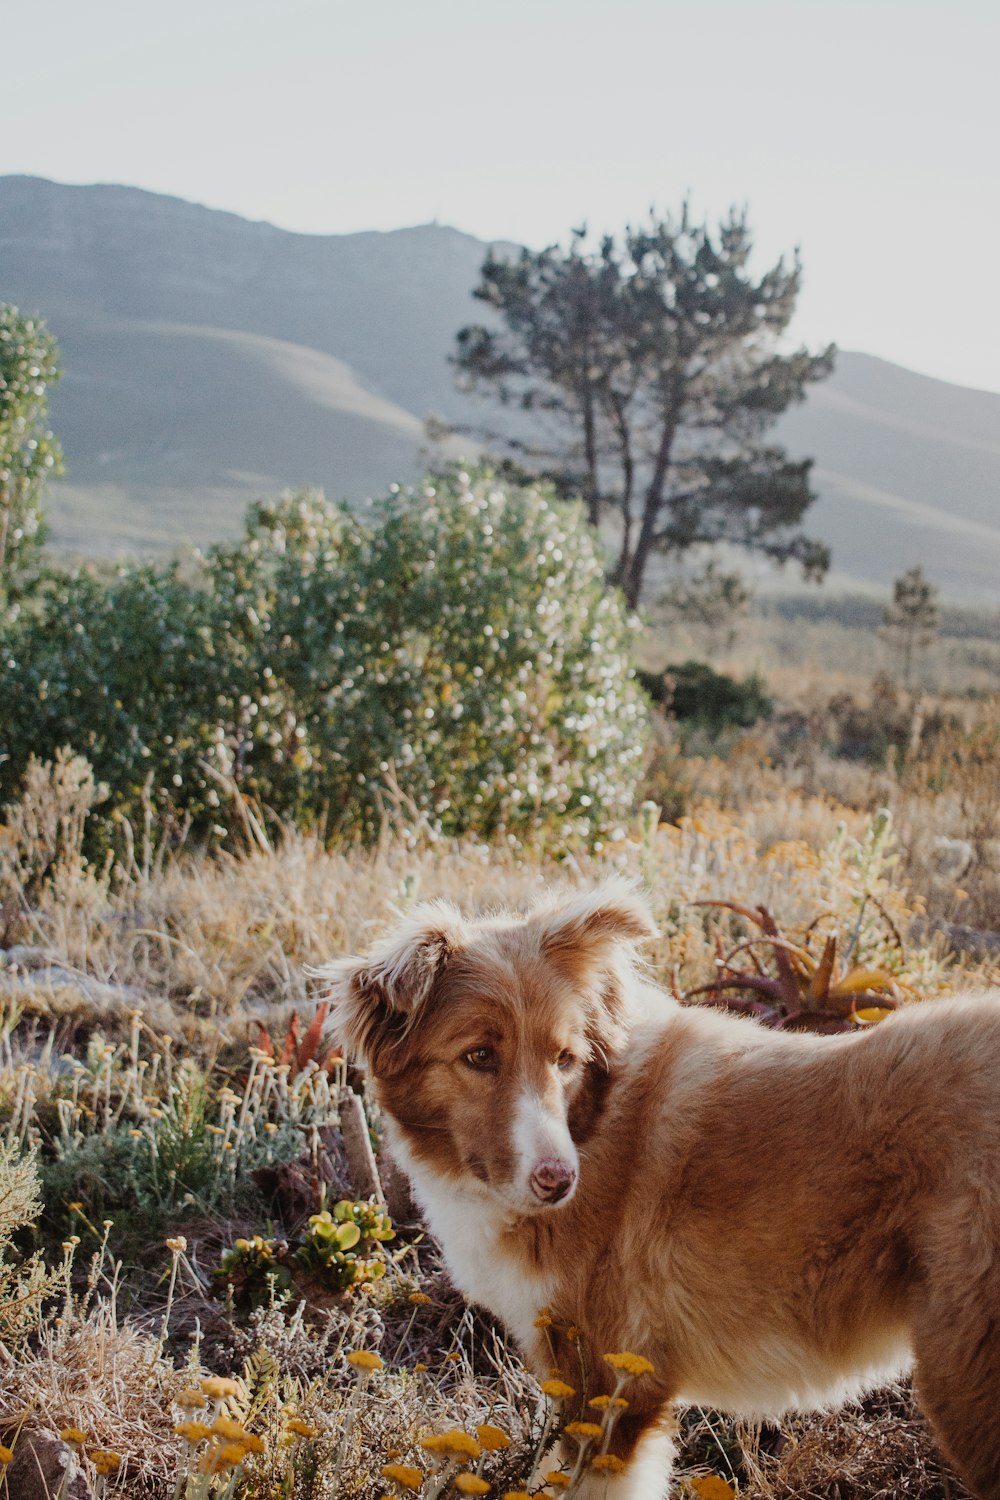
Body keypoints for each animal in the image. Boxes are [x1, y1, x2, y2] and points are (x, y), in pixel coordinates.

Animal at [325, 882, 1000, 1494]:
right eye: (479, 1056)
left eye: (564, 1058)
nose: (558, 1181)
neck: (593, 1122)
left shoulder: (612, 1390)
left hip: (964, 1376)